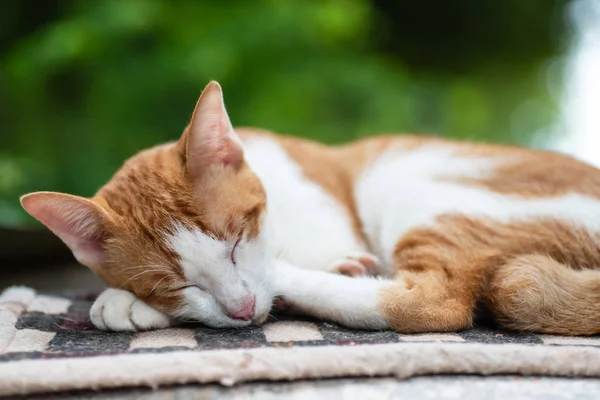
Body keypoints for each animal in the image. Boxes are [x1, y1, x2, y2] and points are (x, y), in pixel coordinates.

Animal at [21, 80, 600, 334]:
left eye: (237, 241)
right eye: (173, 283)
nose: (242, 309)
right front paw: (136, 301)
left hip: (413, 186)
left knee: (437, 301)